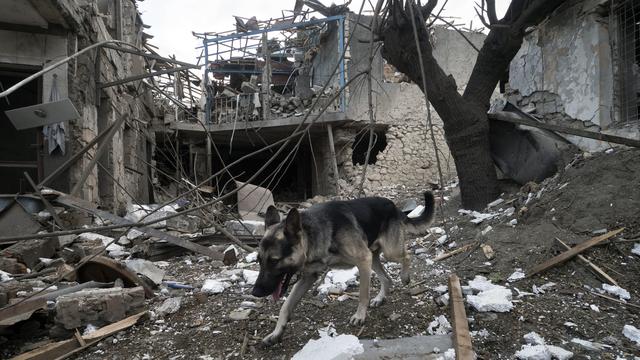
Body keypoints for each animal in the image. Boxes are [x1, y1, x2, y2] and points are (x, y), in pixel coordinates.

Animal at [250, 191, 436, 346]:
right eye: (259, 260)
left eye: (274, 261)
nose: (255, 293)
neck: (314, 234)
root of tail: (393, 206)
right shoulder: (308, 277)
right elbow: (285, 306)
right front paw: (276, 333)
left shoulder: (363, 260)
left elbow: (363, 294)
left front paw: (360, 316)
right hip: (373, 257)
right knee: (387, 278)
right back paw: (379, 298)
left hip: (389, 252)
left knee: (406, 256)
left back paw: (405, 277)